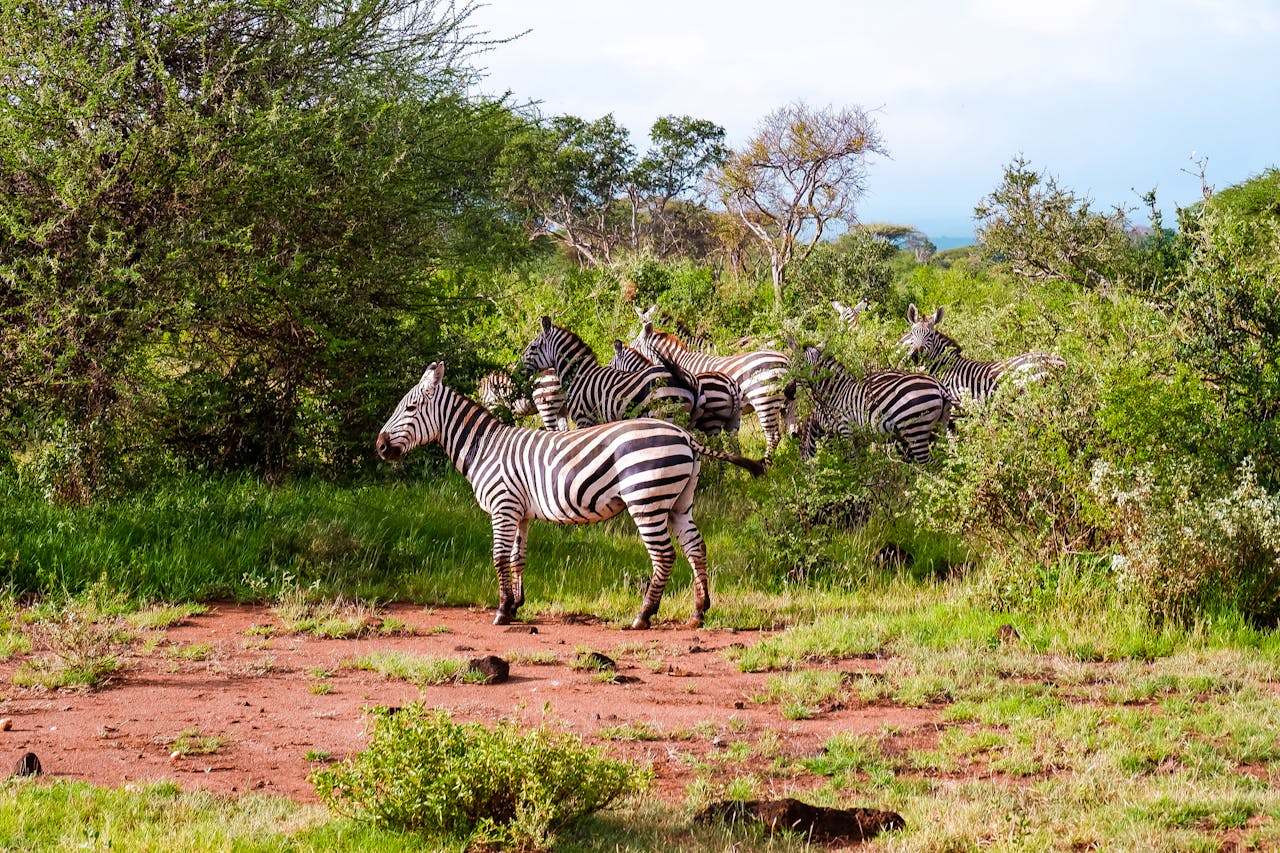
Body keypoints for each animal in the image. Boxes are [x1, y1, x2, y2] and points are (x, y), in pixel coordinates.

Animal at [375, 362, 764, 628]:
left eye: (409, 408)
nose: (379, 446)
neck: (484, 448)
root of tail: (684, 435)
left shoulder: (503, 507)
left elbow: (498, 558)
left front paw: (501, 611)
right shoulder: (520, 513)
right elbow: (517, 559)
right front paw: (516, 605)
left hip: (646, 499)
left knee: (664, 555)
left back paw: (643, 616)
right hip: (679, 503)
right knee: (696, 548)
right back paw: (698, 612)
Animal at [632, 321, 793, 459]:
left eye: (634, 344)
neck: (677, 361)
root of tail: (786, 360)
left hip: (764, 400)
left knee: (773, 436)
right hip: (787, 402)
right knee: (793, 432)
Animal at [797, 346, 954, 463]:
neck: (837, 392)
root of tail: (938, 385)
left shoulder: (844, 430)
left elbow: (852, 461)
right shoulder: (858, 436)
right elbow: (862, 461)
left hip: (915, 428)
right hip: (937, 427)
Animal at [901, 305, 1066, 405]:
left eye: (930, 335)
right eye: (912, 333)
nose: (915, 356)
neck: (946, 368)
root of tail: (1058, 360)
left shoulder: (957, 401)